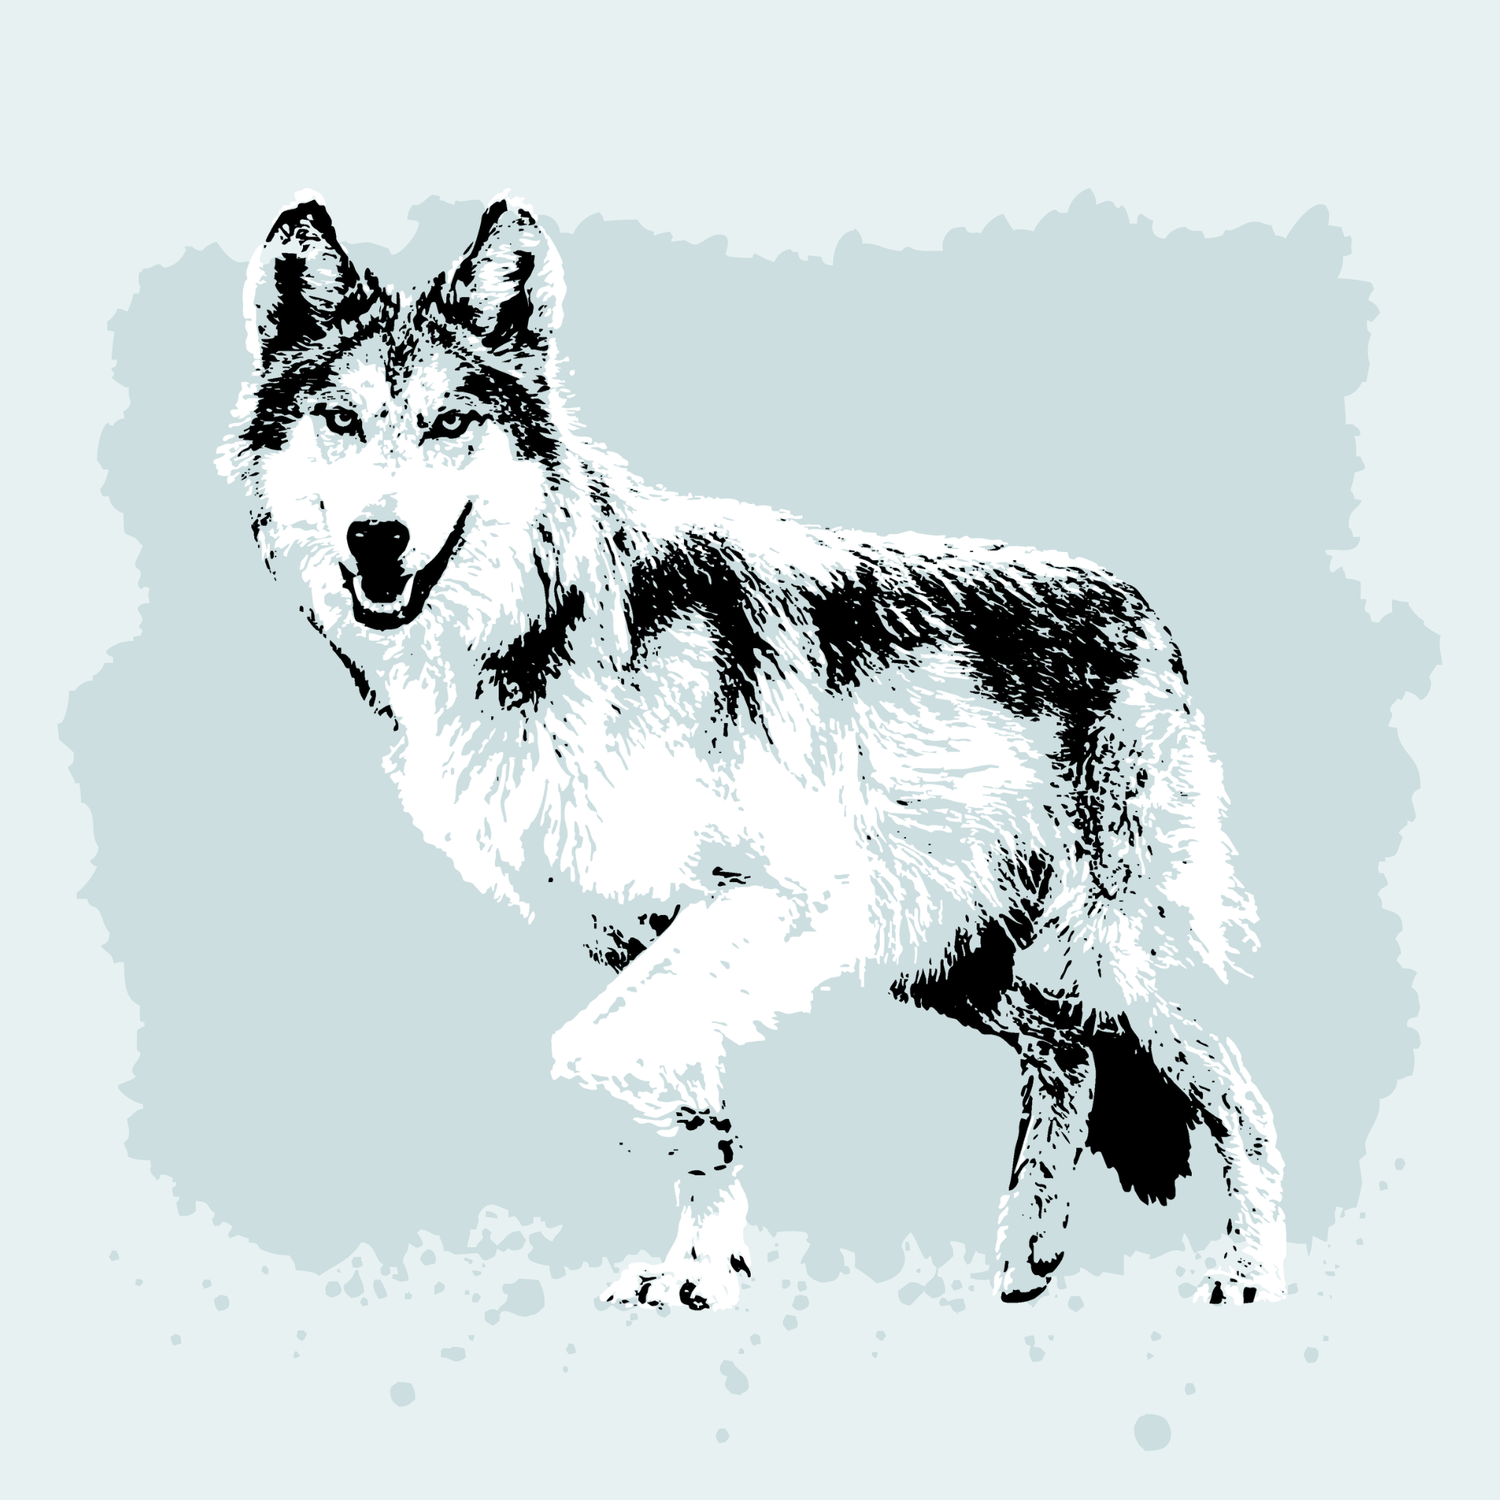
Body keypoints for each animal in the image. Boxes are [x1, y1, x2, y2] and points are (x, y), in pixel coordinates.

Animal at [220, 194, 1286, 1308]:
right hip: (960, 960)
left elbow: (589, 1050)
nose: (376, 537)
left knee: (1240, 1098)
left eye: (449, 424)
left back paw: (1249, 1275)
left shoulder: (772, 900)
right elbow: (693, 1115)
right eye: (342, 422)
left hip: (1117, 954)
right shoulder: (652, 932)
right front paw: (698, 1273)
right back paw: (1026, 1259)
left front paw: (690, 1238)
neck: (547, 640)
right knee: (1070, 1056)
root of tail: (1143, 605)